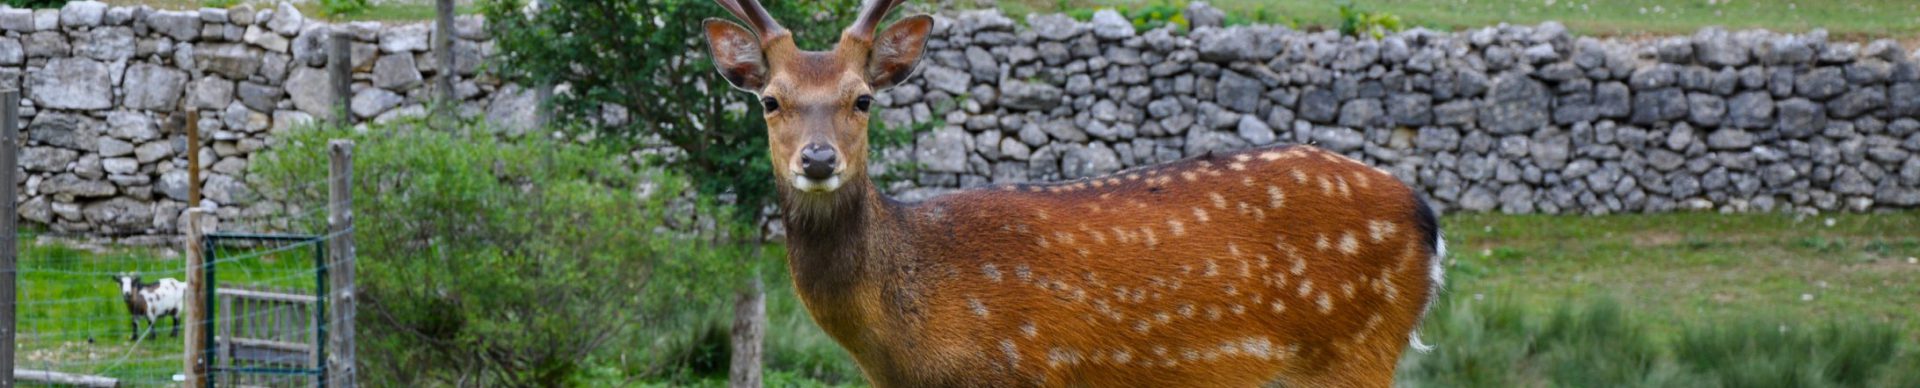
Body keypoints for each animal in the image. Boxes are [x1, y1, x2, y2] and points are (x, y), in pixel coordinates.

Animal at [702, 0, 1443, 384]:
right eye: (770, 99)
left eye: (862, 99)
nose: (817, 158)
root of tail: (1427, 219)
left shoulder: (1024, 374)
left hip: (1353, 353)